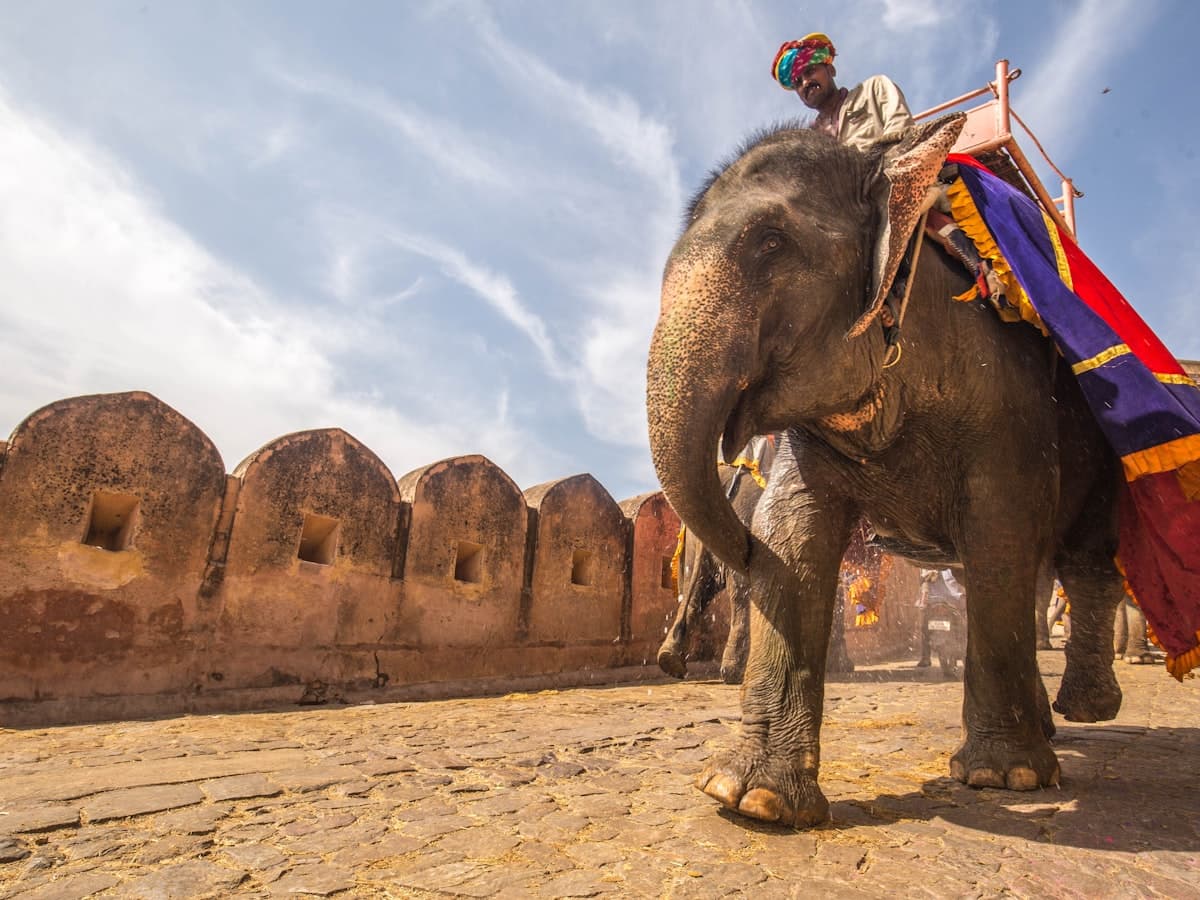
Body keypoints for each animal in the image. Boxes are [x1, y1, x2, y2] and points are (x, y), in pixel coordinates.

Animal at [646, 114, 1126, 828]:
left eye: (771, 242)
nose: (741, 546)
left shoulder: (1007, 398)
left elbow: (1002, 531)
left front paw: (1003, 778)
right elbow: (792, 533)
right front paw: (751, 799)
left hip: (1099, 435)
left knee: (1080, 561)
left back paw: (1085, 711)